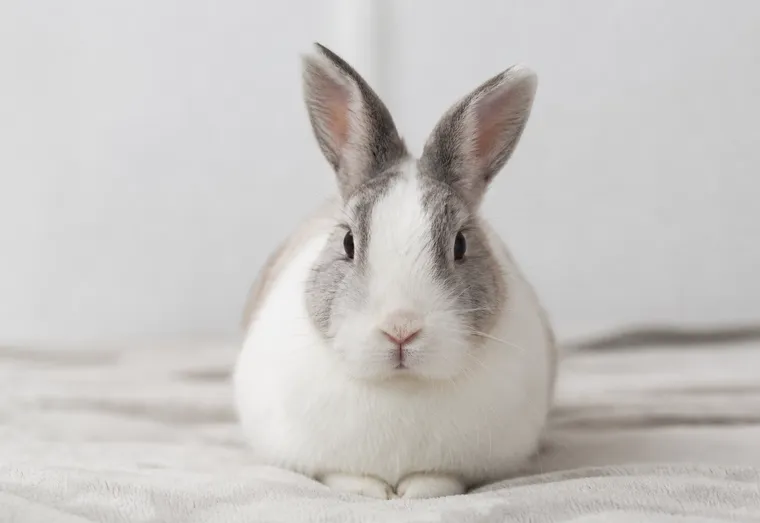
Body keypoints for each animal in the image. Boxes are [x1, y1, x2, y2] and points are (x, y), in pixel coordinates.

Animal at [234, 43, 558, 500]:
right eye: (348, 243)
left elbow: (438, 480)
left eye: (460, 245)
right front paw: (372, 492)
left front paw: (418, 491)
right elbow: (344, 477)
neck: (400, 386)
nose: (401, 329)